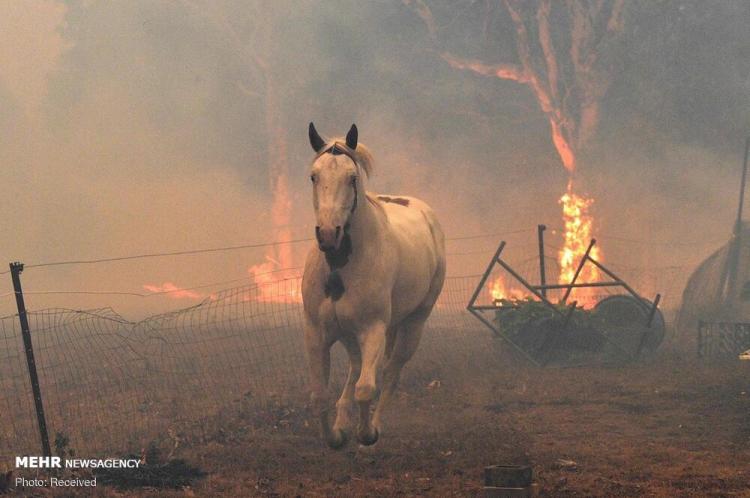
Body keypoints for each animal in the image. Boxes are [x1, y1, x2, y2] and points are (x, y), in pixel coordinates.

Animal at [302, 121, 446, 448]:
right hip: (350, 335)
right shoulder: (317, 333)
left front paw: (365, 433)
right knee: (357, 368)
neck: (340, 268)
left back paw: (374, 425)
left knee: (390, 373)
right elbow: (319, 396)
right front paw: (336, 436)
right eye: (314, 176)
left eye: (352, 177)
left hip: (412, 324)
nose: (328, 234)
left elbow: (367, 388)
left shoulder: (373, 330)